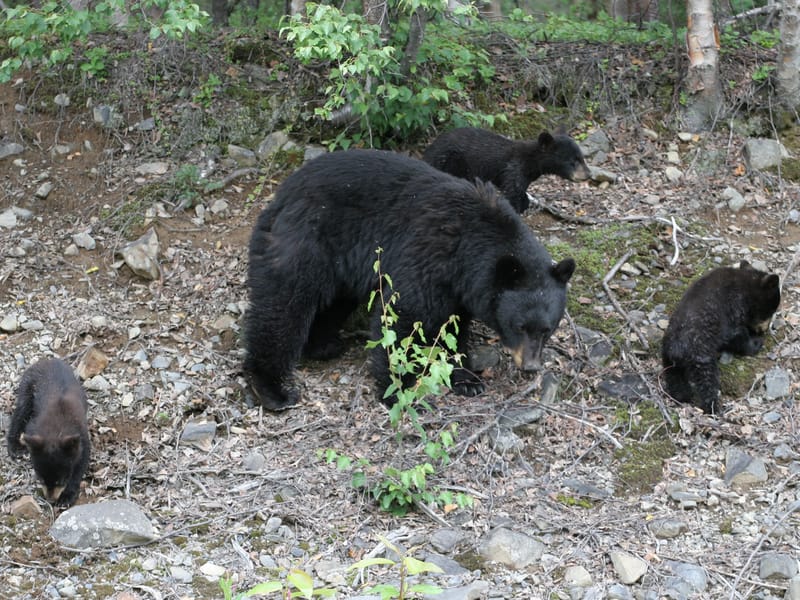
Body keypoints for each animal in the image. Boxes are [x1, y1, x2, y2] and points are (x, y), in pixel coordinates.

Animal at [6, 358, 91, 507]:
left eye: (60, 481)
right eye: (41, 479)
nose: (50, 500)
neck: (56, 430)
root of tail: (47, 360)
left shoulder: (81, 436)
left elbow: (81, 462)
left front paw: (67, 496)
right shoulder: (34, 427)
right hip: (28, 386)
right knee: (20, 411)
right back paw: (15, 448)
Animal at [244, 149, 576, 410]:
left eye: (547, 329)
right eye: (519, 326)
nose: (530, 366)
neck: (468, 247)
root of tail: (281, 194)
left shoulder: (460, 288)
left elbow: (452, 328)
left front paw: (467, 379)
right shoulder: (427, 259)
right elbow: (404, 317)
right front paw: (399, 389)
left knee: (332, 303)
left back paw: (323, 345)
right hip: (307, 240)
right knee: (284, 306)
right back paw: (272, 389)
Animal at [422, 127, 591, 213]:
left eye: (582, 157)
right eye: (573, 161)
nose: (588, 174)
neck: (531, 163)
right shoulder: (514, 169)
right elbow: (512, 193)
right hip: (448, 161)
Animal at [661, 261, 781, 414]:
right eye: (771, 310)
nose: (763, 330)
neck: (746, 284)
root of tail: (676, 350)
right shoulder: (734, 307)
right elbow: (735, 335)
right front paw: (756, 344)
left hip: (668, 359)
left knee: (674, 377)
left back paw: (681, 395)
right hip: (700, 356)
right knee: (707, 381)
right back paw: (713, 407)